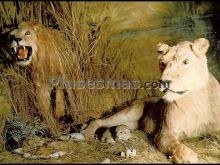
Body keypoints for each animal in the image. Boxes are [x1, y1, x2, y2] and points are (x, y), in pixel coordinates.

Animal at [81, 38, 220, 163]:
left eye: (186, 61)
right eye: (162, 63)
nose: (164, 82)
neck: (193, 98)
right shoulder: (164, 133)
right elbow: (176, 145)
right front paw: (187, 157)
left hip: (130, 124)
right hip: (127, 114)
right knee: (99, 121)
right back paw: (86, 132)